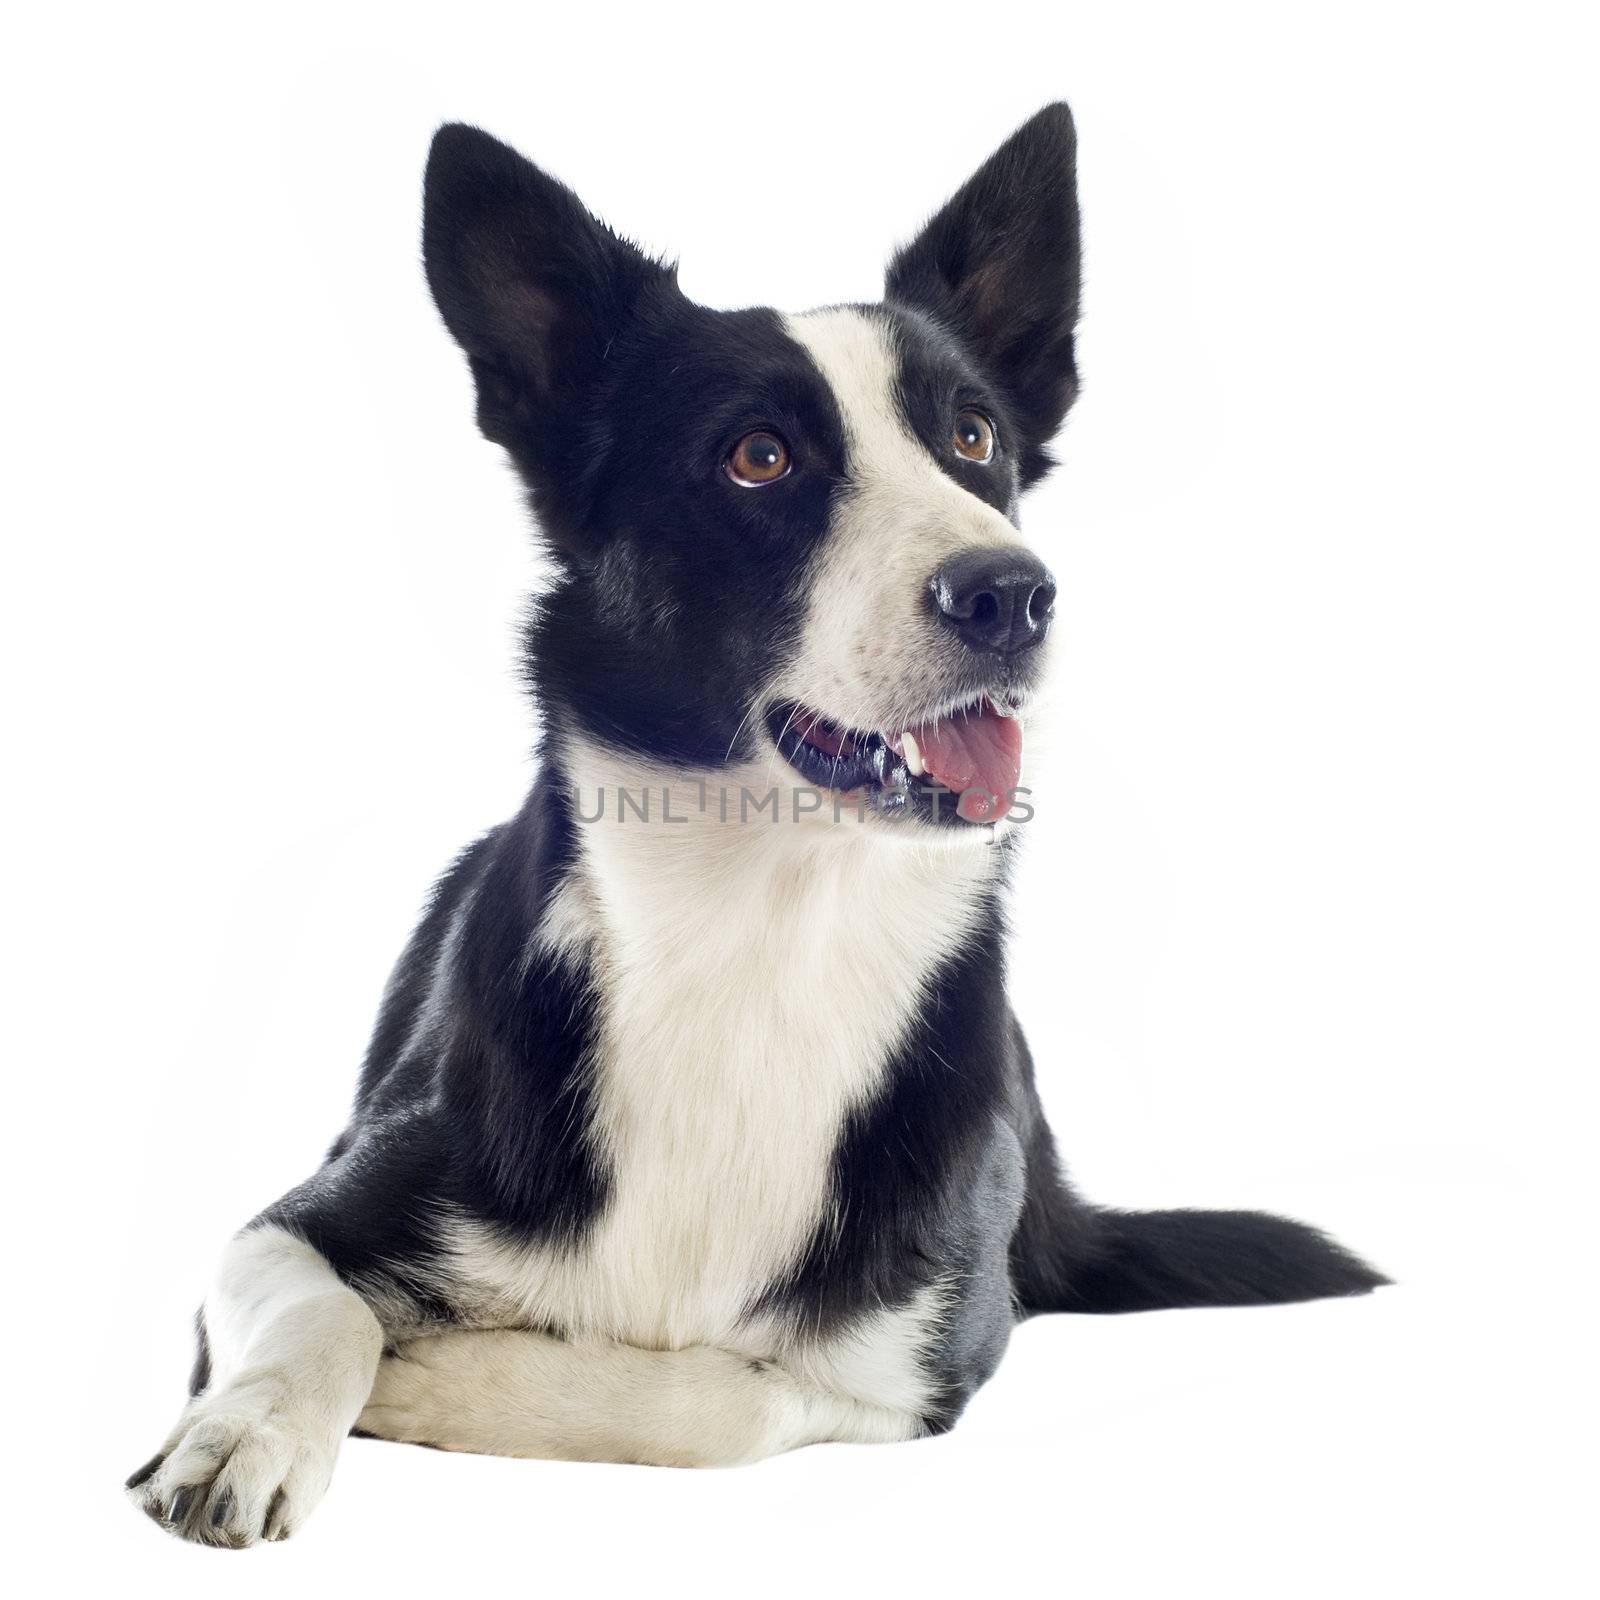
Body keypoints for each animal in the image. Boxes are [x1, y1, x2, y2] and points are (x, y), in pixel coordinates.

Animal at [124, 103, 1382, 1548]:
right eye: (758, 456)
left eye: (974, 440)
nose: (1014, 592)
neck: (764, 933)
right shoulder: (299, 1216)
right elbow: (316, 1308)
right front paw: (247, 1432)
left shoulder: (919, 1356)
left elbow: (711, 1397)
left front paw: (438, 1376)